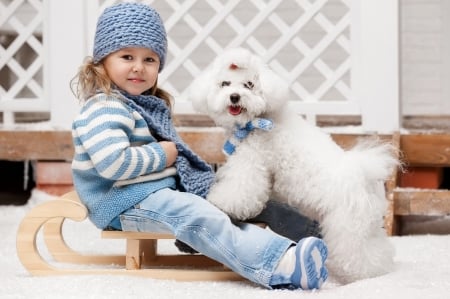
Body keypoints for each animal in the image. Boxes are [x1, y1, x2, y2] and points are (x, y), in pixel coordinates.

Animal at [188, 47, 400, 284]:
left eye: (249, 84)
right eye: (225, 83)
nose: (234, 96)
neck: (257, 120)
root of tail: (363, 176)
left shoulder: (252, 162)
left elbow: (239, 191)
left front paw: (220, 201)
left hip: (347, 226)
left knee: (357, 256)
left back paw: (362, 277)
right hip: (367, 226)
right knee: (379, 249)